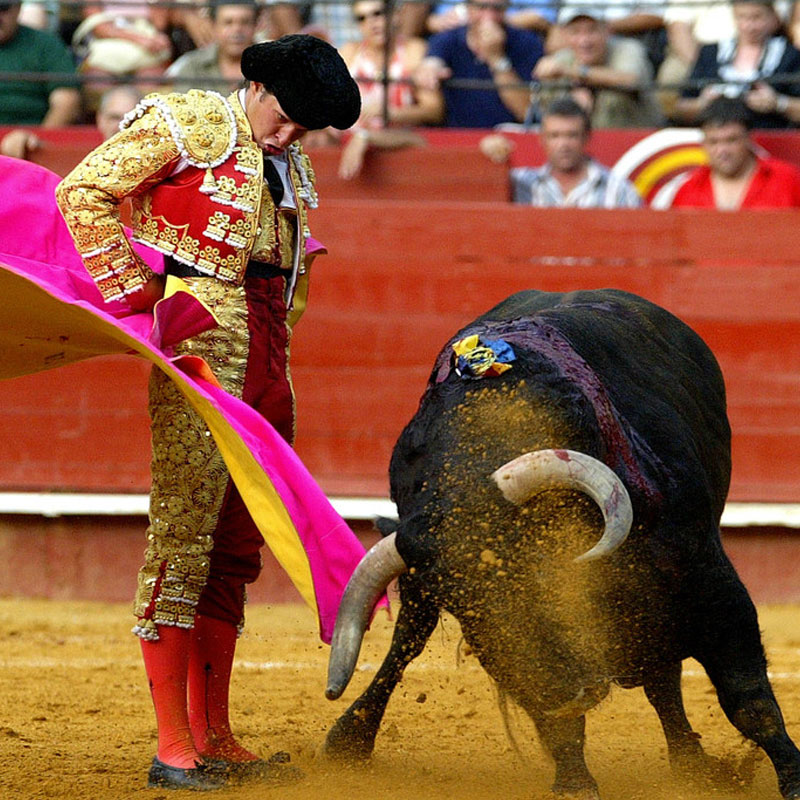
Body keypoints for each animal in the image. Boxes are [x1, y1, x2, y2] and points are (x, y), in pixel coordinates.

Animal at [322, 290, 796, 800]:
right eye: (469, 615)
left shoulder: (713, 585)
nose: (573, 692)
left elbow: (748, 699)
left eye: (537, 571)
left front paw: (791, 779)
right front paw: (575, 782)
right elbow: (555, 721)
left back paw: (692, 764)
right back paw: (348, 739)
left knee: (666, 682)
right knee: (406, 643)